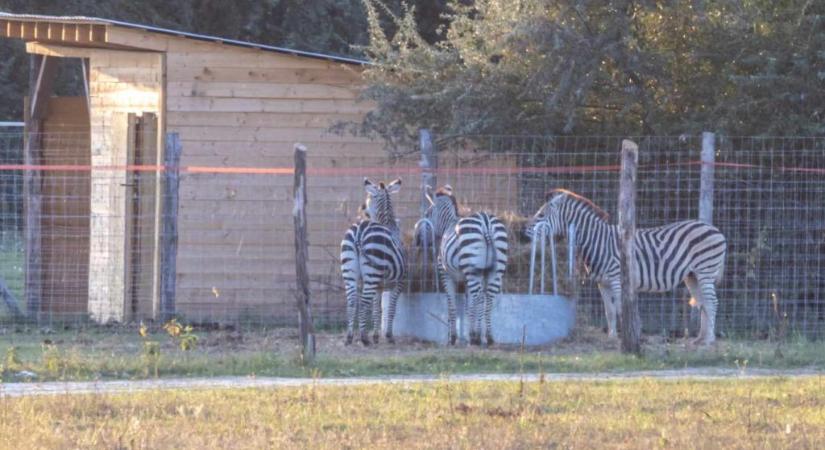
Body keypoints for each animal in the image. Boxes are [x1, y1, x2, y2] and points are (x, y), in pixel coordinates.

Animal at [340, 178, 408, 344]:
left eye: (368, 200)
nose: (362, 209)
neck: (387, 224)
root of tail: (359, 231)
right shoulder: (399, 281)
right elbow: (391, 308)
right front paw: (388, 335)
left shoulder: (379, 285)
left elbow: (377, 309)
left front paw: (376, 336)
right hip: (371, 274)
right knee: (364, 301)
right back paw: (364, 338)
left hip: (350, 271)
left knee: (352, 300)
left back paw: (350, 337)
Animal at [424, 185, 508, 346]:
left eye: (427, 214)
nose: (422, 239)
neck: (447, 224)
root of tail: (486, 222)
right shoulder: (469, 277)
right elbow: (469, 307)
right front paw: (471, 332)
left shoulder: (446, 274)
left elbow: (451, 304)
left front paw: (453, 337)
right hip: (494, 270)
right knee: (487, 297)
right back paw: (488, 337)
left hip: (472, 268)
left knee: (478, 296)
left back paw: (476, 337)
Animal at [524, 190, 724, 344]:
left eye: (541, 215)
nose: (522, 232)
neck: (598, 241)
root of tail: (715, 229)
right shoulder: (602, 283)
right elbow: (610, 311)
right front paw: (611, 337)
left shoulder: (616, 279)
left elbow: (621, 309)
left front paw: (624, 338)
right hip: (692, 275)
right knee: (703, 303)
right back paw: (699, 339)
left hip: (705, 270)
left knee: (712, 302)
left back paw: (710, 340)